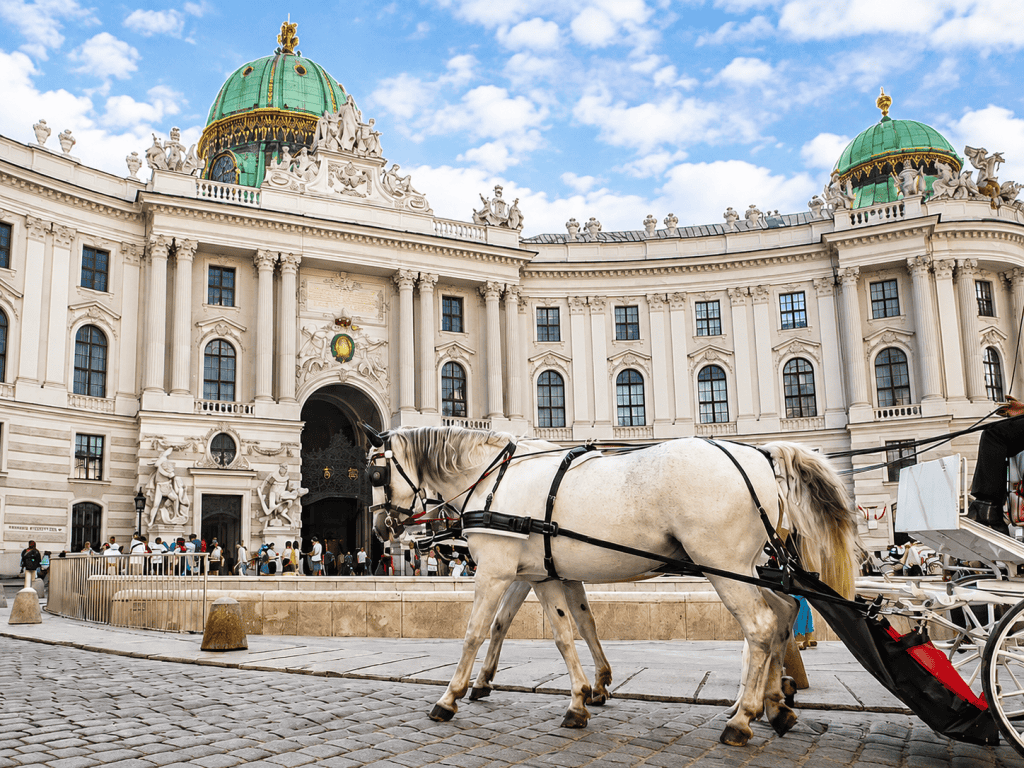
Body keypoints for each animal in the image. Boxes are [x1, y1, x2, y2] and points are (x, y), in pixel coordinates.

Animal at [365, 426, 858, 747]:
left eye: (375, 475)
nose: (380, 527)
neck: (496, 480)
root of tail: (760, 454)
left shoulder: (496, 571)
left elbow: (475, 632)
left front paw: (450, 696)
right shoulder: (544, 574)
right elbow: (569, 632)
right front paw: (582, 698)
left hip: (722, 565)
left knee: (759, 626)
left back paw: (743, 719)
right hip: (749, 565)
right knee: (783, 613)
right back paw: (773, 706)